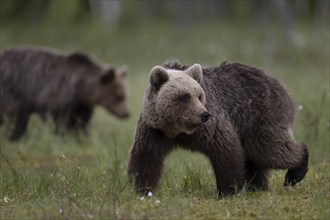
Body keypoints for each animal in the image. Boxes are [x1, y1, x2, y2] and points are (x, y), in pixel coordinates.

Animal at [0, 45, 130, 140]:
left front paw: (83, 137)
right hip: (12, 89)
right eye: (119, 96)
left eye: (125, 96)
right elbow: (56, 118)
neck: (81, 89)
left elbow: (81, 121)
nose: (126, 114)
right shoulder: (54, 95)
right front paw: (63, 135)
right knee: (14, 116)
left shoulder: (81, 105)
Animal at [127, 59, 310, 196]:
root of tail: (277, 81)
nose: (204, 114)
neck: (178, 129)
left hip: (261, 114)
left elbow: (225, 149)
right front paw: (142, 190)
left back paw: (294, 173)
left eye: (199, 95)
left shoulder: (209, 126)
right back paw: (258, 187)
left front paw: (229, 190)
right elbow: (146, 157)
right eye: (184, 96)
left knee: (269, 149)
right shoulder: (154, 130)